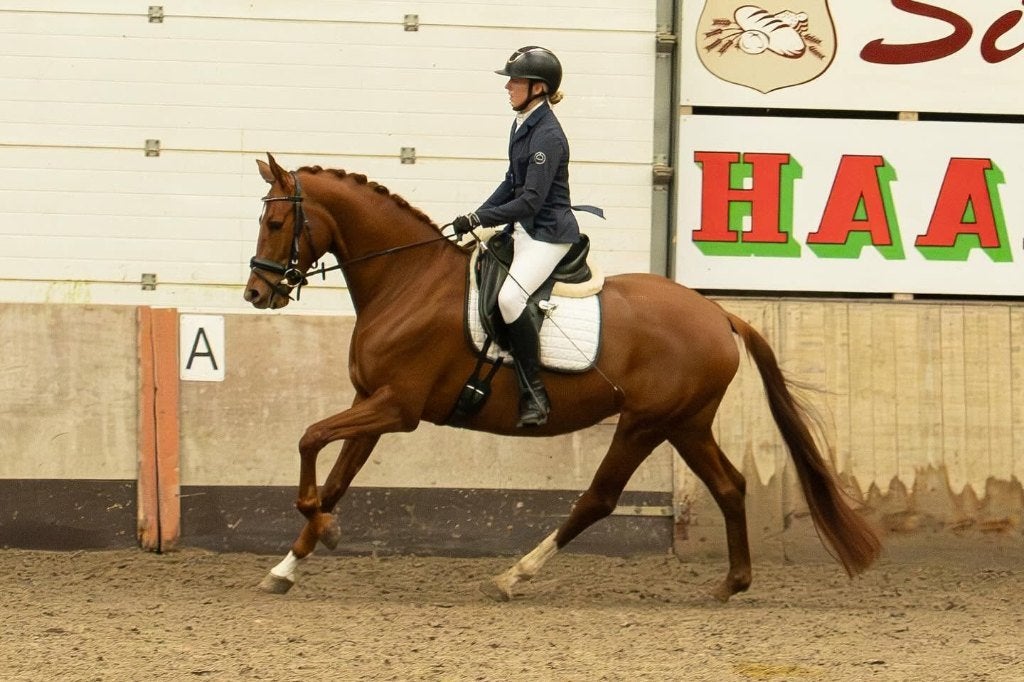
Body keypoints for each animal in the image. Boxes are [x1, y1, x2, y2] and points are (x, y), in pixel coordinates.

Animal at [244, 153, 881, 602]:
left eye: (275, 221)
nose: (256, 293)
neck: (408, 279)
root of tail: (717, 313)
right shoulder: (371, 402)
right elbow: (334, 478)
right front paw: (290, 564)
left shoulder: (396, 408)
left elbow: (308, 440)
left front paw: (322, 529)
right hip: (687, 424)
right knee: (730, 486)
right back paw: (731, 583)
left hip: (645, 424)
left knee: (599, 499)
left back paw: (514, 576)